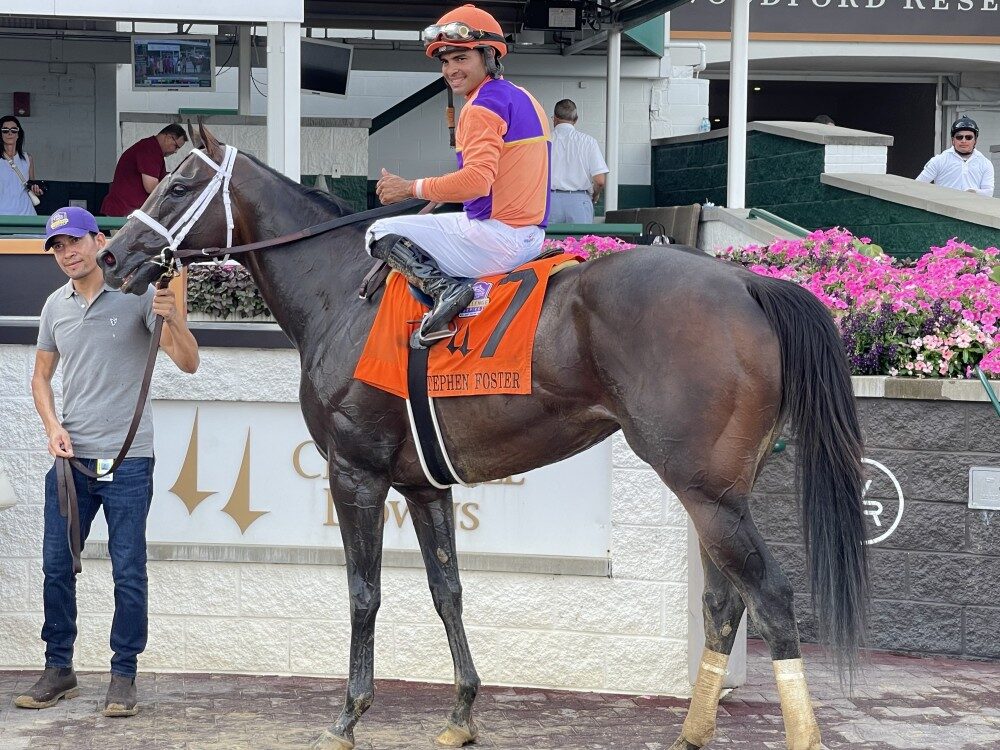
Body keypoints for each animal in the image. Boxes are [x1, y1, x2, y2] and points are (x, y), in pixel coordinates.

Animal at [97, 126, 872, 750]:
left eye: (178, 185)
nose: (112, 257)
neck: (340, 292)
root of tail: (746, 284)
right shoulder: (422, 484)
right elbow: (448, 590)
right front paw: (462, 713)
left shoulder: (355, 472)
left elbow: (363, 593)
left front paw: (349, 715)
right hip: (716, 492)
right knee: (724, 603)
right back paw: (692, 731)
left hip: (706, 489)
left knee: (771, 597)